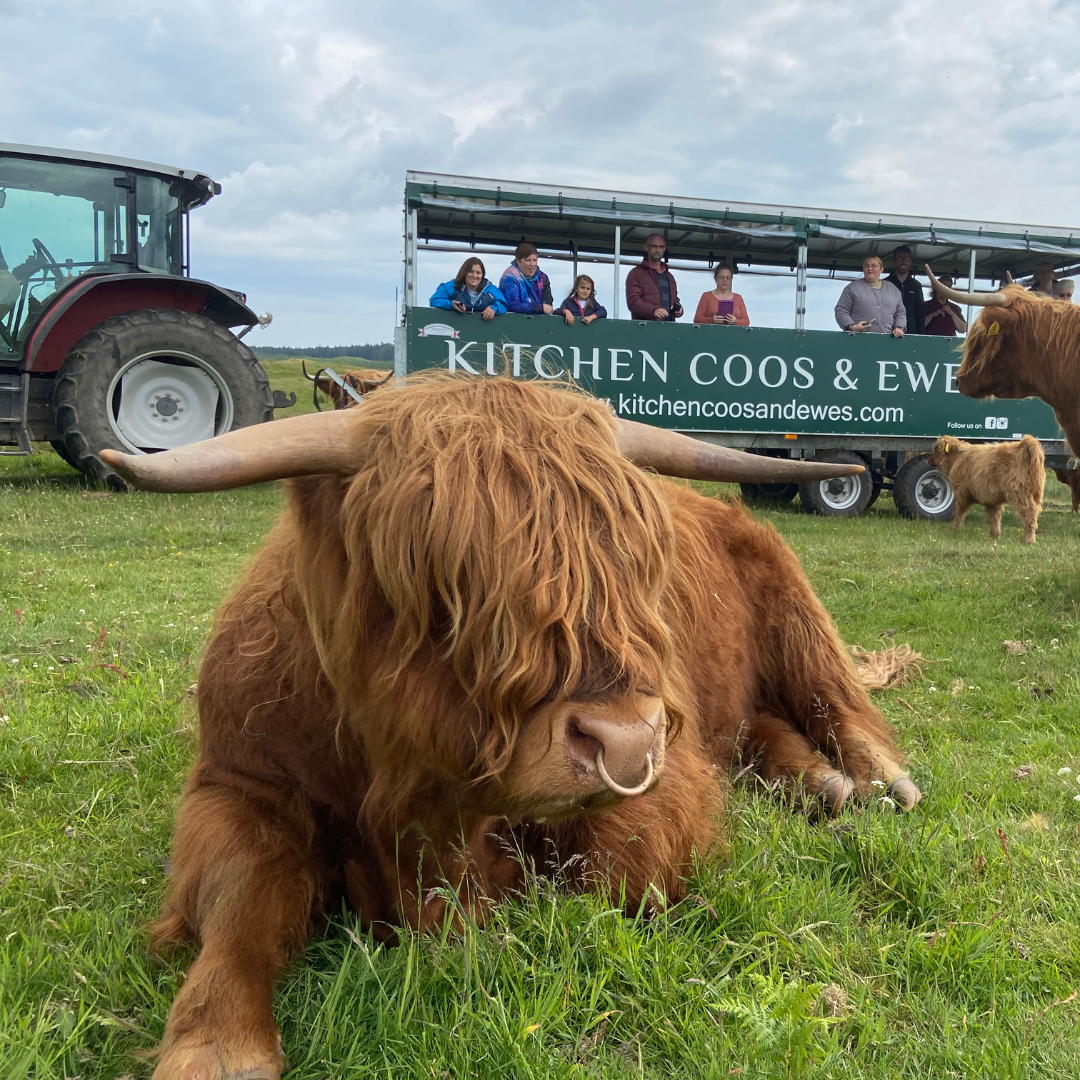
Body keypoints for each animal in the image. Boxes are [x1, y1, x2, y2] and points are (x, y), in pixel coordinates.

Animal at [100, 375, 919, 1080]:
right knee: (764, 729)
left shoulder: (667, 781)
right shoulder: (236, 786)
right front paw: (216, 1044)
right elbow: (241, 901)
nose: (626, 743)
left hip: (794, 606)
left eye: (642, 574)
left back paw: (876, 781)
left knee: (834, 699)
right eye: (445, 584)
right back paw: (823, 784)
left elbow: (601, 881)